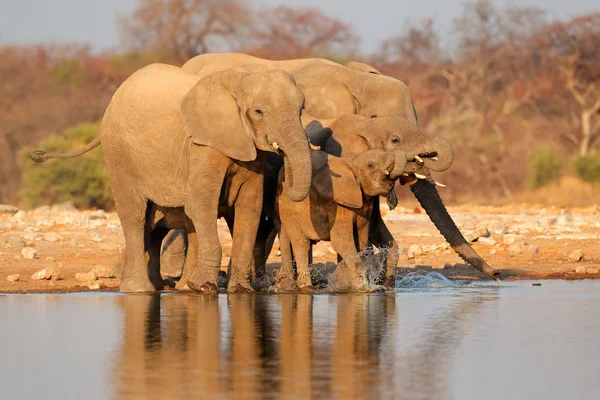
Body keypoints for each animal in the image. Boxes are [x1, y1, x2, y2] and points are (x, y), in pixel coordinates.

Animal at [32, 63, 312, 294]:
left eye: (301, 109)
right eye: (258, 111)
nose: (285, 176)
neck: (240, 79)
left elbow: (249, 208)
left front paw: (241, 291)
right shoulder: (203, 146)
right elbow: (201, 205)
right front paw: (203, 287)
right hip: (118, 155)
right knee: (134, 215)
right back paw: (139, 290)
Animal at [274, 148, 406, 292]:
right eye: (370, 165)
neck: (352, 161)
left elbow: (360, 242)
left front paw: (344, 285)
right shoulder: (339, 206)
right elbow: (341, 242)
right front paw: (363, 289)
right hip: (287, 206)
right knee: (300, 242)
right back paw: (305, 287)